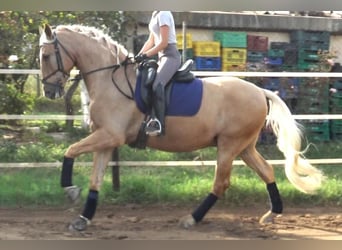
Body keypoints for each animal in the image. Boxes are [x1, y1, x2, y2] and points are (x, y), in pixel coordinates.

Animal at [38, 24, 324, 231]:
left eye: (45, 55)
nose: (49, 92)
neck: (111, 78)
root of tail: (260, 91)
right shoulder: (106, 139)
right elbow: (94, 178)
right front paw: (83, 218)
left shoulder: (109, 136)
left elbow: (70, 151)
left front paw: (70, 191)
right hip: (243, 147)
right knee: (266, 171)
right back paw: (272, 213)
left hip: (229, 146)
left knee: (221, 183)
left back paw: (192, 218)